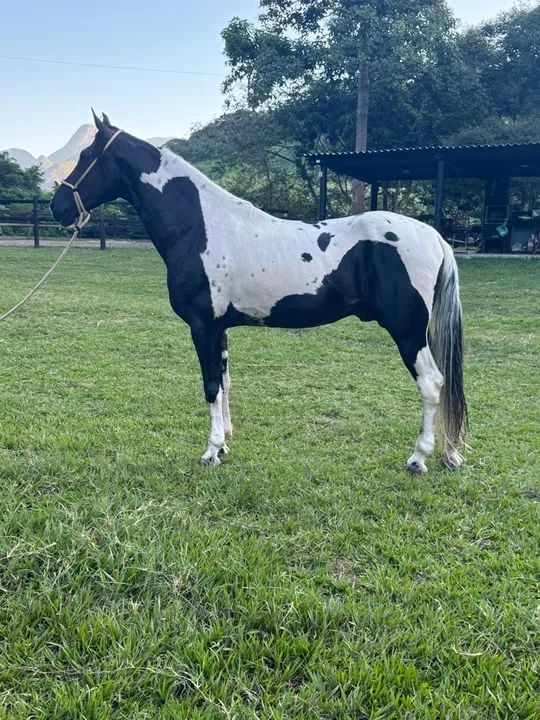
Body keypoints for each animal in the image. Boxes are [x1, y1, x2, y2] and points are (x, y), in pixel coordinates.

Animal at [50, 112, 467, 473]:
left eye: (86, 156)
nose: (58, 207)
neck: (199, 226)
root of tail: (435, 238)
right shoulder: (220, 329)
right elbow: (224, 382)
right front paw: (224, 443)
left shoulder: (203, 326)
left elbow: (210, 386)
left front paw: (211, 452)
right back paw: (450, 454)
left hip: (407, 331)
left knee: (433, 385)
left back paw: (419, 458)